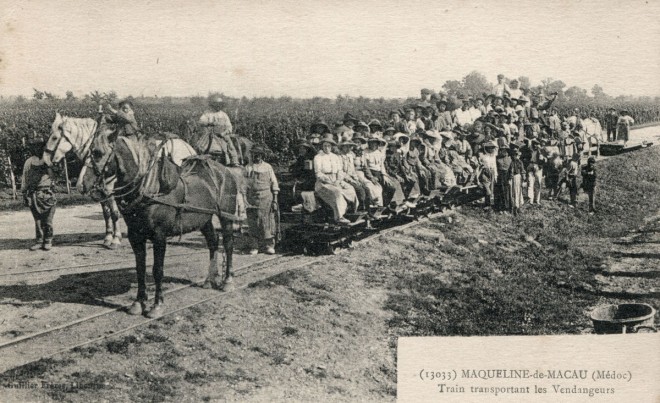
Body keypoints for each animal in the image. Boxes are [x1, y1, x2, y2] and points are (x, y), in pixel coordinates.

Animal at [43, 112, 123, 248]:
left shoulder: (109, 191)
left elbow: (114, 213)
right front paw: (107, 237)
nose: (45, 159)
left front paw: (116, 239)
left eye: (54, 137)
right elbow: (106, 213)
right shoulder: (100, 192)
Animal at [82, 127, 242, 318]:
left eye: (98, 153)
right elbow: (140, 268)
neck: (149, 188)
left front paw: (157, 305)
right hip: (204, 220)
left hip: (226, 217)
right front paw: (138, 303)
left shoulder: (159, 236)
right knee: (212, 242)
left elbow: (157, 270)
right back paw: (210, 279)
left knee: (228, 244)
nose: (84, 184)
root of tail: (224, 171)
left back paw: (228, 281)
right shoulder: (135, 236)